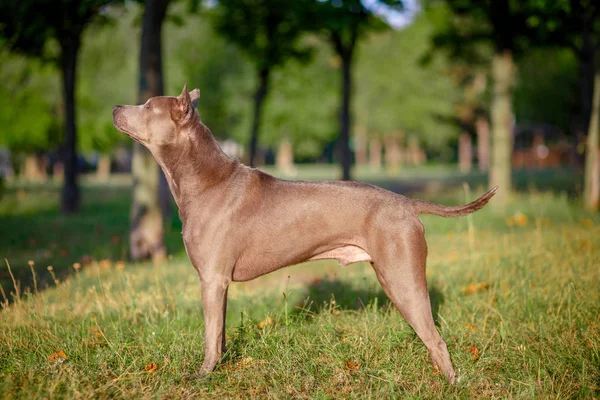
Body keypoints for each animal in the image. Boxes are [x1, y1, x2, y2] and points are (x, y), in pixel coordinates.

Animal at [112, 85, 496, 384]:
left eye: (148, 106)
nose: (115, 107)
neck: (205, 179)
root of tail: (408, 203)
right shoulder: (218, 283)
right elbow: (218, 334)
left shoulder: (212, 279)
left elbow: (210, 335)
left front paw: (203, 376)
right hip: (393, 276)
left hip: (403, 277)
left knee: (436, 339)